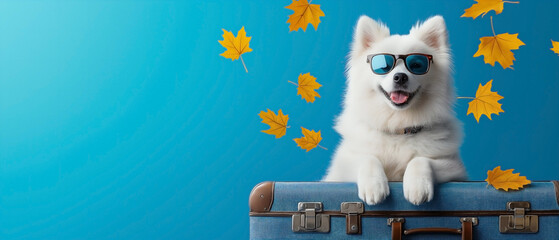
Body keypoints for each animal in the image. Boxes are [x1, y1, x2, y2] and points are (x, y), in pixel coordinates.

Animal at [324, 15, 468, 205]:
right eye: (383, 66)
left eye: (416, 65)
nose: (400, 77)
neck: (398, 128)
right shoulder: (341, 167)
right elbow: (368, 158)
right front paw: (374, 186)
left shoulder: (453, 167)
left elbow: (421, 160)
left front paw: (417, 186)